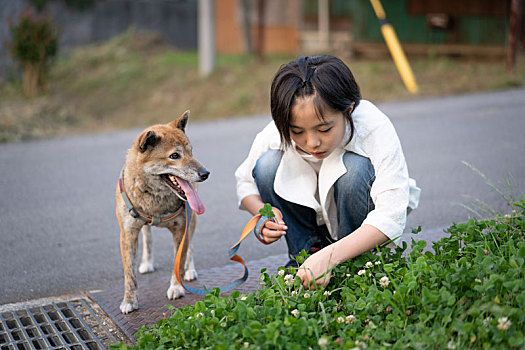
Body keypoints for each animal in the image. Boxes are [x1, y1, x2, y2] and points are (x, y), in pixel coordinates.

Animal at [115, 110, 208, 314]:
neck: (156, 200)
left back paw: (190, 270)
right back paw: (147, 263)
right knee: (148, 239)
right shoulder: (128, 233)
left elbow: (178, 261)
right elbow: (129, 274)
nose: (205, 173)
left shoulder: (181, 229)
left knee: (190, 248)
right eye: (174, 155)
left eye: (191, 151)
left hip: (192, 220)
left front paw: (176, 287)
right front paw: (129, 300)